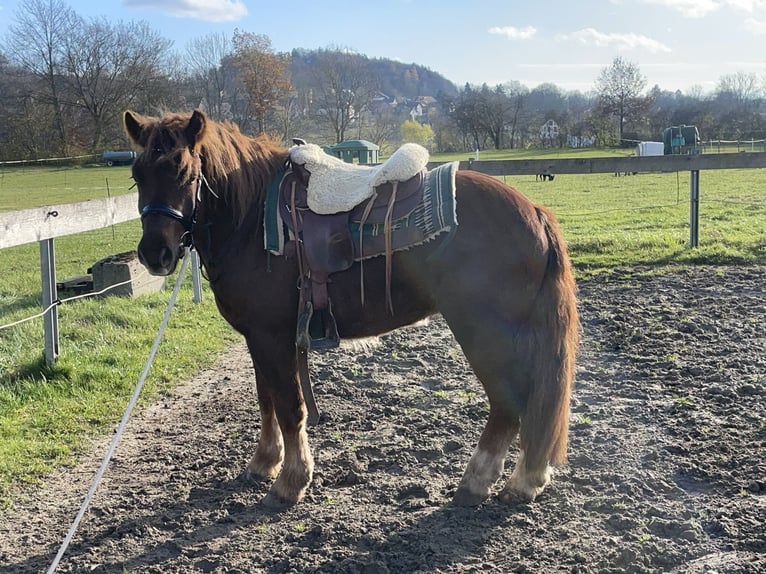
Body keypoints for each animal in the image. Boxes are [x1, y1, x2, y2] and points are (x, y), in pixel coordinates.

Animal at [124, 108, 584, 508]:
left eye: (185, 172)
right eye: (137, 174)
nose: (155, 254)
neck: (252, 220)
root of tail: (534, 212)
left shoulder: (273, 337)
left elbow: (289, 407)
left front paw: (290, 482)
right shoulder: (258, 338)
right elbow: (266, 400)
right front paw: (264, 463)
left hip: (483, 332)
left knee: (509, 404)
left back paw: (479, 482)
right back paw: (525, 480)